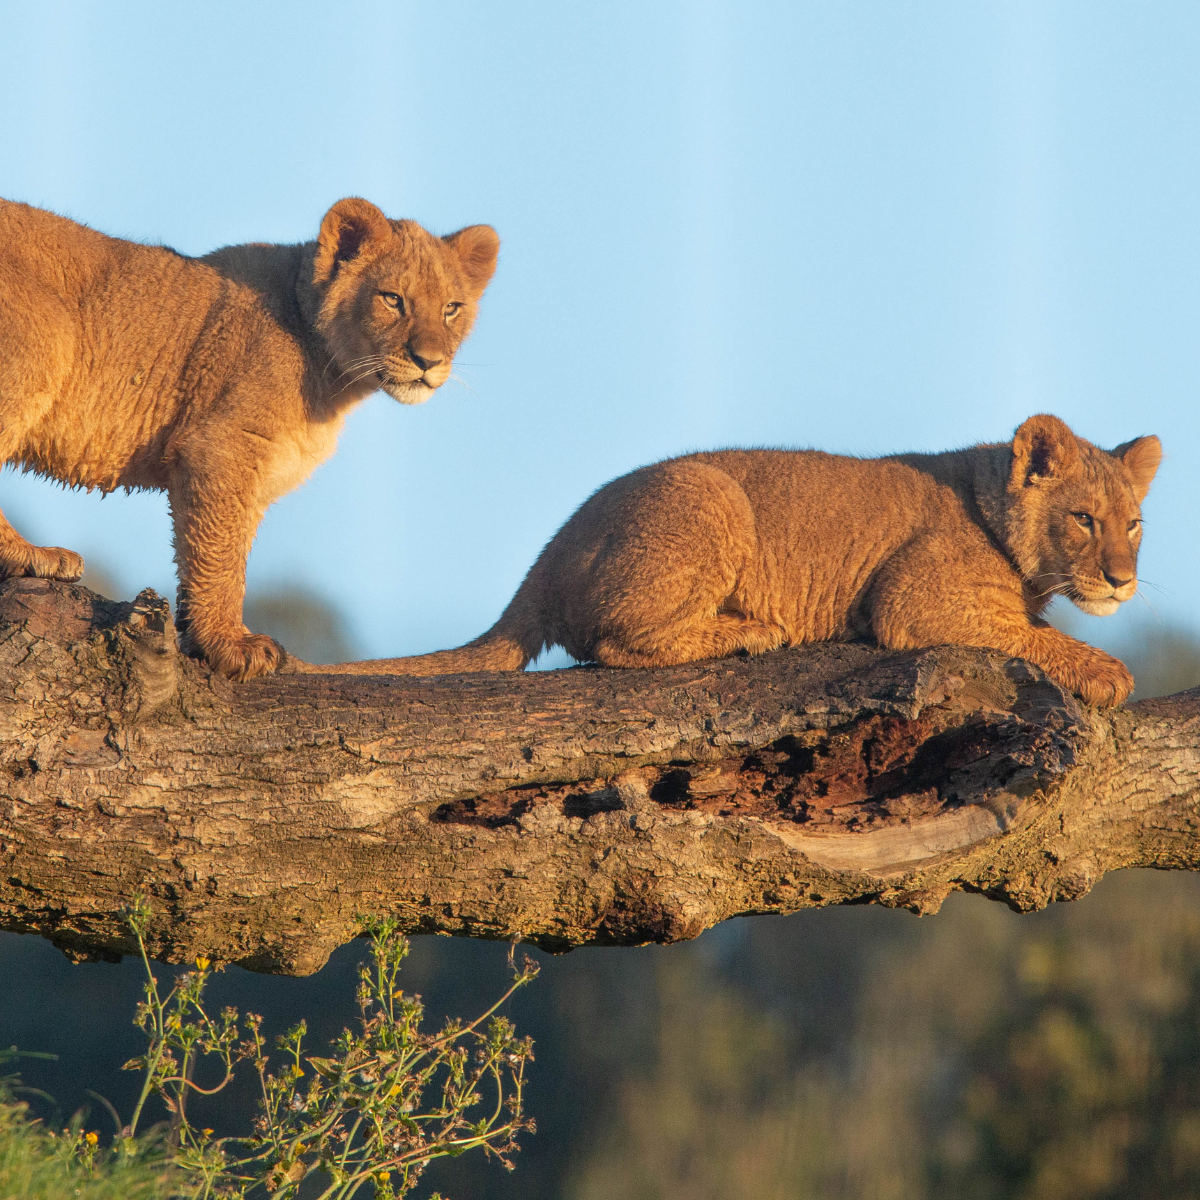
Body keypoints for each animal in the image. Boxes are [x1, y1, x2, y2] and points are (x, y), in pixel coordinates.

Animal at [0, 197, 498, 678]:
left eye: (451, 308)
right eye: (392, 299)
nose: (429, 361)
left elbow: (214, 549)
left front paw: (201, 635)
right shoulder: (220, 447)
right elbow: (223, 557)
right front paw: (230, 643)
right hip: (41, 344)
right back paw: (29, 553)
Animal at [301, 415, 1161, 707]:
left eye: (1134, 525)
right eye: (1084, 521)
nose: (1123, 579)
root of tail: (549, 551)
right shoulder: (914, 603)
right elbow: (1030, 636)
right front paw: (1108, 673)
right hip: (715, 495)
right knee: (612, 643)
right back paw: (751, 630)